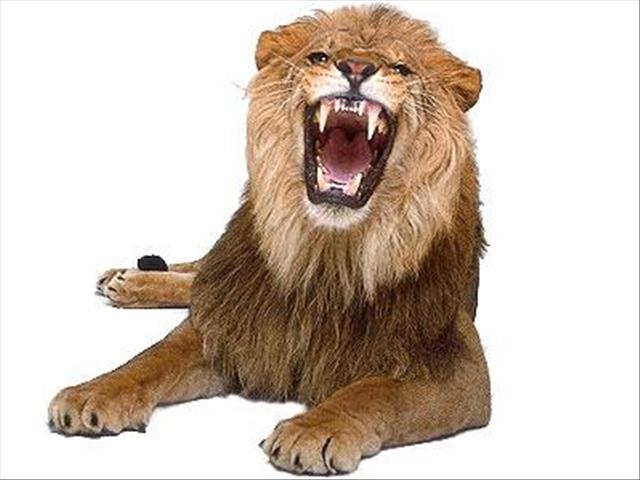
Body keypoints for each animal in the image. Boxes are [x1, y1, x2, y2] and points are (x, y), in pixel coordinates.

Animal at [48, 5, 490, 475]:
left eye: (402, 68)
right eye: (320, 56)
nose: (355, 67)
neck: (329, 250)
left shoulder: (456, 361)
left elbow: (374, 392)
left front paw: (312, 430)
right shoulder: (232, 317)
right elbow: (149, 359)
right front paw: (90, 394)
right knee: (199, 273)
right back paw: (128, 279)